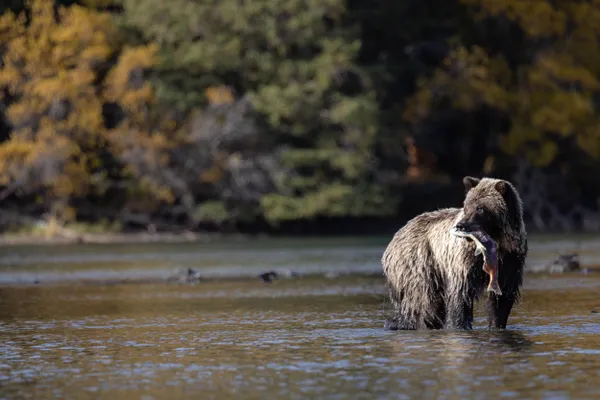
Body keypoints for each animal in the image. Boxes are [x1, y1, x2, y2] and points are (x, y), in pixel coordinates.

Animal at [382, 177, 528, 330]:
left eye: (480, 208)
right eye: (466, 207)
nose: (461, 225)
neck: (498, 242)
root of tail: (395, 237)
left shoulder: (511, 259)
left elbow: (502, 298)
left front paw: (496, 324)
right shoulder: (464, 260)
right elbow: (461, 293)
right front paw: (459, 325)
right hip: (418, 263)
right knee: (423, 301)